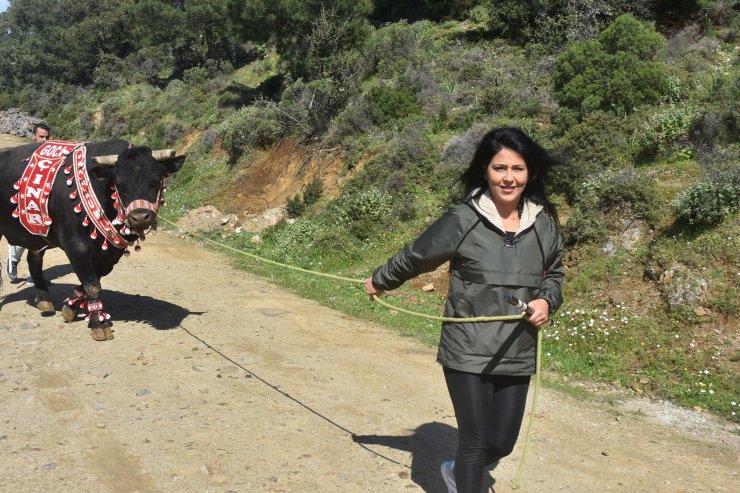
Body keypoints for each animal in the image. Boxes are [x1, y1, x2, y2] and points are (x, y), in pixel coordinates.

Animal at [0, 138, 185, 338]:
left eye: (156, 181)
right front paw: (99, 323)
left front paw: (71, 306)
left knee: (34, 259)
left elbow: (92, 279)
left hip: (38, 233)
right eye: (119, 184)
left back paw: (44, 300)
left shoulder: (111, 252)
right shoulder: (76, 246)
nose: (140, 217)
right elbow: (93, 285)